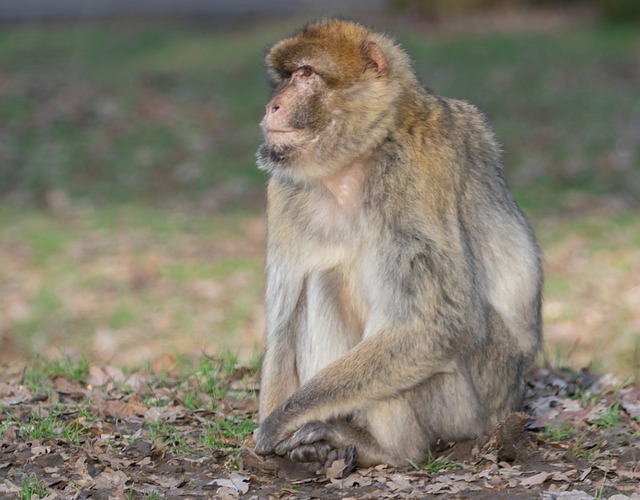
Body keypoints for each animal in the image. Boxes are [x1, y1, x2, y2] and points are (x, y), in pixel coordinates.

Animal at [252, 16, 544, 468]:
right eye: (286, 77)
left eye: (306, 75)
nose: (273, 107)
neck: (362, 154)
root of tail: (508, 406)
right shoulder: (284, 191)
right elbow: (283, 319)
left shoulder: (415, 169)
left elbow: (440, 323)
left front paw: (282, 419)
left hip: (462, 404)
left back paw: (389, 448)